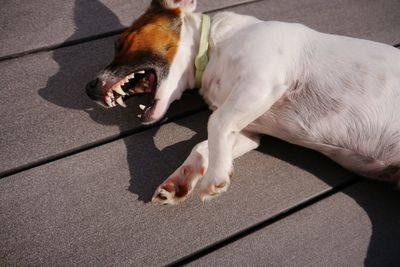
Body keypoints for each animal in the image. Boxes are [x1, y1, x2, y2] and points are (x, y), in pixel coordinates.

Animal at [85, 0, 400, 205]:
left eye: (123, 41)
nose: (89, 88)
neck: (212, 49)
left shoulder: (261, 83)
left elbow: (214, 123)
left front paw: (214, 178)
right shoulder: (248, 130)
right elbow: (205, 144)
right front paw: (181, 180)